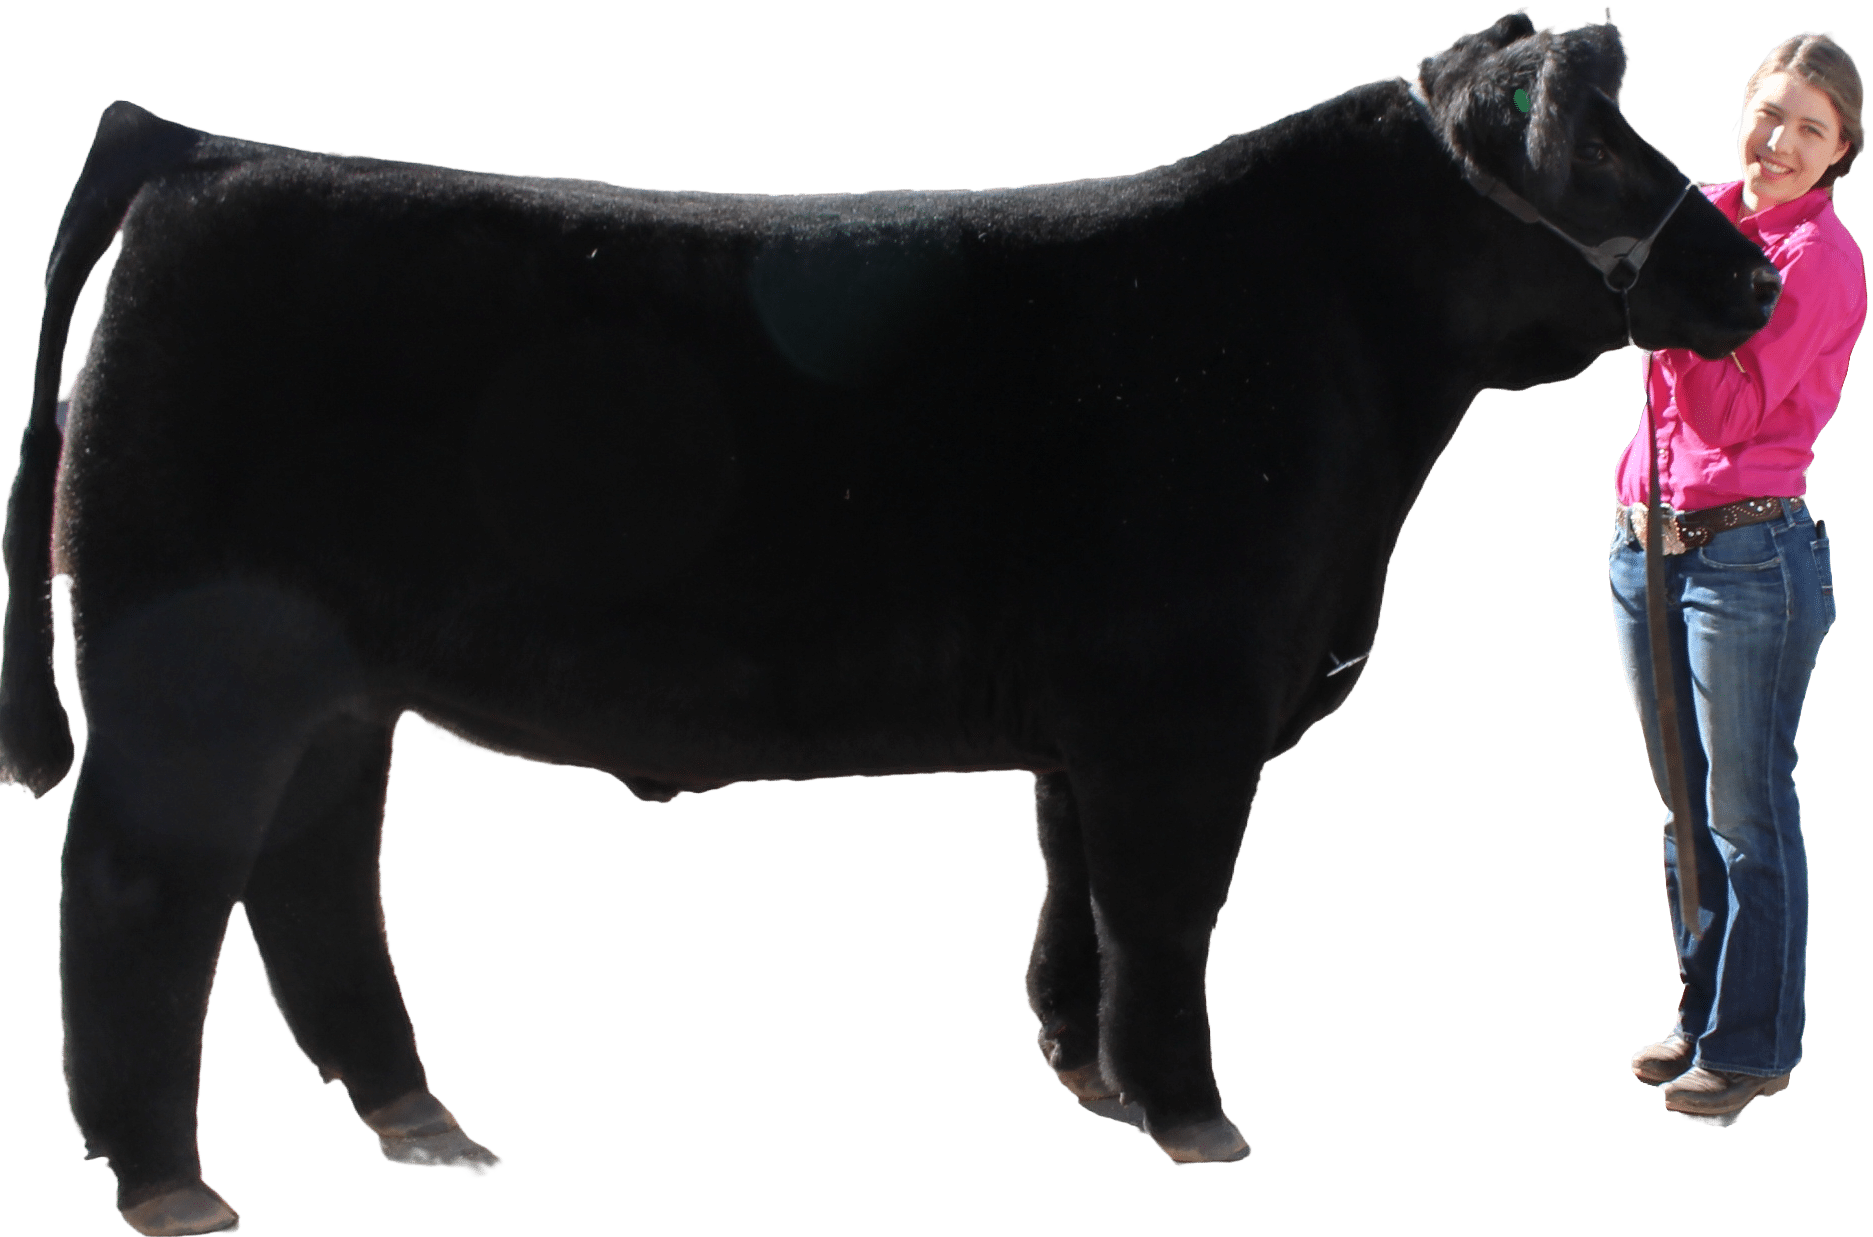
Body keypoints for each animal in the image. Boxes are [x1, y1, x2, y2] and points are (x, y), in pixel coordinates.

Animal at [0, 7, 1777, 1234]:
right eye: (1600, 153)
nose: (1753, 279)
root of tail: (209, 150)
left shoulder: (1092, 728)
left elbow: (1077, 896)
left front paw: (1092, 1079)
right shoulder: (1182, 710)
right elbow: (1165, 912)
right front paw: (1195, 1120)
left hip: (329, 686)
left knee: (307, 880)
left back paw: (419, 1124)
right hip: (197, 677)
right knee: (142, 897)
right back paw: (169, 1182)